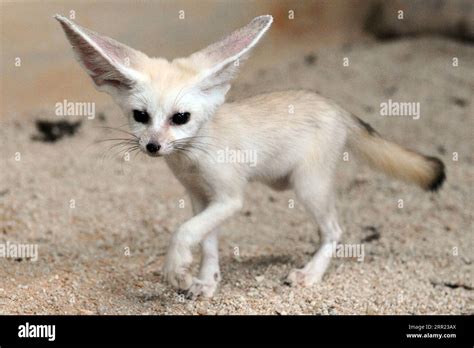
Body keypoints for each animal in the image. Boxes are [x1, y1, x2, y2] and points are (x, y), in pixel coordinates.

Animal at [55, 14, 444, 298]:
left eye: (180, 118)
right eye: (140, 116)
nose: (153, 147)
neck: (191, 157)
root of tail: (335, 105)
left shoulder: (229, 198)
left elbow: (183, 232)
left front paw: (175, 268)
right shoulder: (200, 199)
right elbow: (206, 241)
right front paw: (206, 282)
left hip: (308, 187)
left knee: (334, 229)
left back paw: (310, 274)